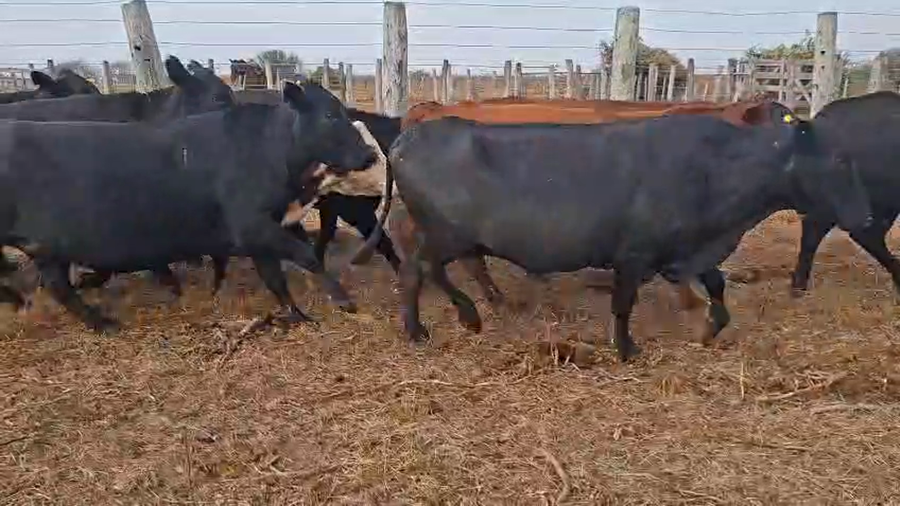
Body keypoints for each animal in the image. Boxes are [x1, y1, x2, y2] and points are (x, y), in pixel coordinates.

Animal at [0, 81, 378, 332]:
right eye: (329, 115)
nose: (370, 155)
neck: (267, 151)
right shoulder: (253, 226)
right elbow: (307, 256)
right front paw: (343, 300)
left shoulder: (259, 235)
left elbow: (276, 279)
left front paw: (298, 315)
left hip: (47, 247)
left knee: (56, 285)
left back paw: (97, 320)